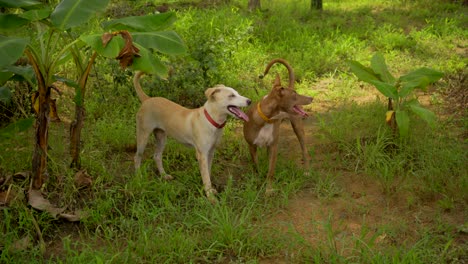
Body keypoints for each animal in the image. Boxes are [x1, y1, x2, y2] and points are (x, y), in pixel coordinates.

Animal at [133, 71, 252, 203]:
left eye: (237, 93)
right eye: (231, 95)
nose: (250, 101)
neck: (211, 120)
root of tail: (147, 99)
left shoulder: (210, 152)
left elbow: (207, 172)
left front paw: (210, 190)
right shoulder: (202, 154)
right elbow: (206, 177)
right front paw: (211, 198)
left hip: (161, 137)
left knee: (157, 156)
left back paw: (164, 175)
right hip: (143, 135)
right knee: (137, 157)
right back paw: (138, 177)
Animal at [243, 59, 312, 194]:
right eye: (295, 95)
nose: (311, 98)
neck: (266, 119)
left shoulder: (273, 147)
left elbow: (271, 171)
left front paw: (268, 189)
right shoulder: (251, 146)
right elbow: (255, 166)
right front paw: (257, 181)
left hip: (298, 127)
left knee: (304, 150)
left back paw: (306, 170)